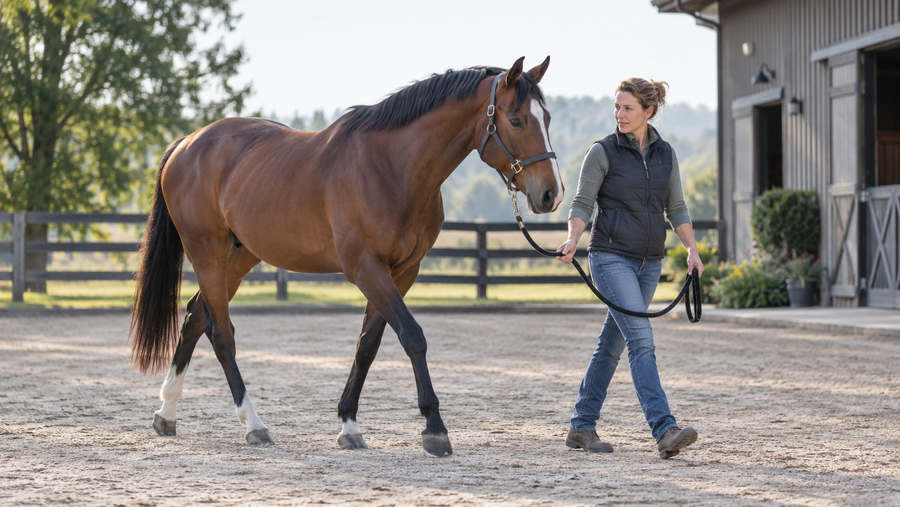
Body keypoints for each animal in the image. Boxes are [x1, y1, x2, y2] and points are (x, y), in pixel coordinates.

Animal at [129, 56, 563, 457]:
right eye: (516, 120)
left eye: (547, 118)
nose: (550, 194)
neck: (392, 167)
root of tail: (186, 144)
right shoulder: (365, 268)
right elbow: (412, 337)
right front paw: (435, 428)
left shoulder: (402, 271)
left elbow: (367, 345)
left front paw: (349, 425)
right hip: (207, 252)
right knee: (221, 333)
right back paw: (253, 424)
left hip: (238, 257)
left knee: (193, 317)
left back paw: (166, 413)